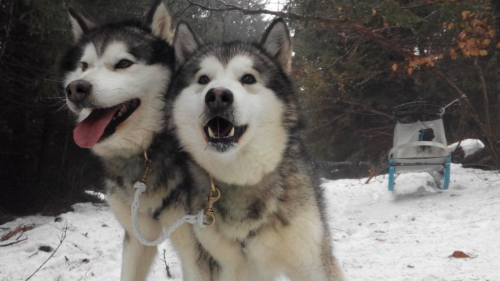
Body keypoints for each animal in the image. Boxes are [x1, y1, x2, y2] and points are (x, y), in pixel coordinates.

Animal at [61, 2, 210, 280]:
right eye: (84, 65)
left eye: (123, 63)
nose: (76, 88)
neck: (150, 150)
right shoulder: (137, 237)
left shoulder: (201, 255)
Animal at [168, 19, 344, 280]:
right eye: (203, 79)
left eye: (248, 78)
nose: (217, 96)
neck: (241, 180)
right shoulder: (218, 264)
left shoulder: (312, 259)